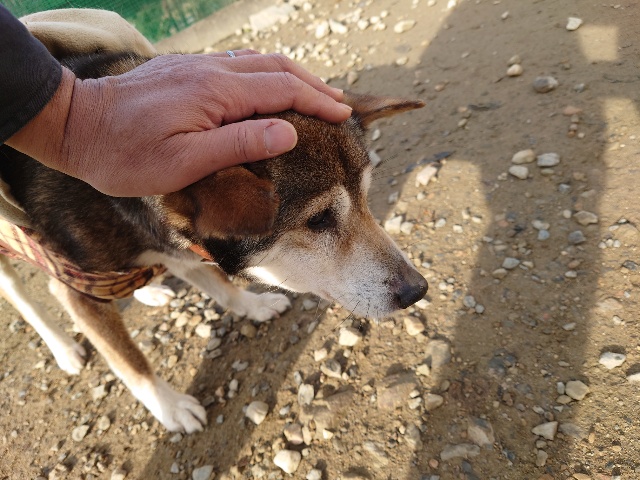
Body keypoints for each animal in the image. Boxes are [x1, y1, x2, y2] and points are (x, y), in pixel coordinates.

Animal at [0, 51, 428, 433]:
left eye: (366, 198)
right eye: (319, 219)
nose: (418, 290)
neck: (113, 195)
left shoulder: (178, 249)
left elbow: (220, 285)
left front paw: (253, 305)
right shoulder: (77, 287)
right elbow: (131, 363)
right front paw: (171, 407)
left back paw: (147, 291)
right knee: (22, 297)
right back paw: (64, 348)